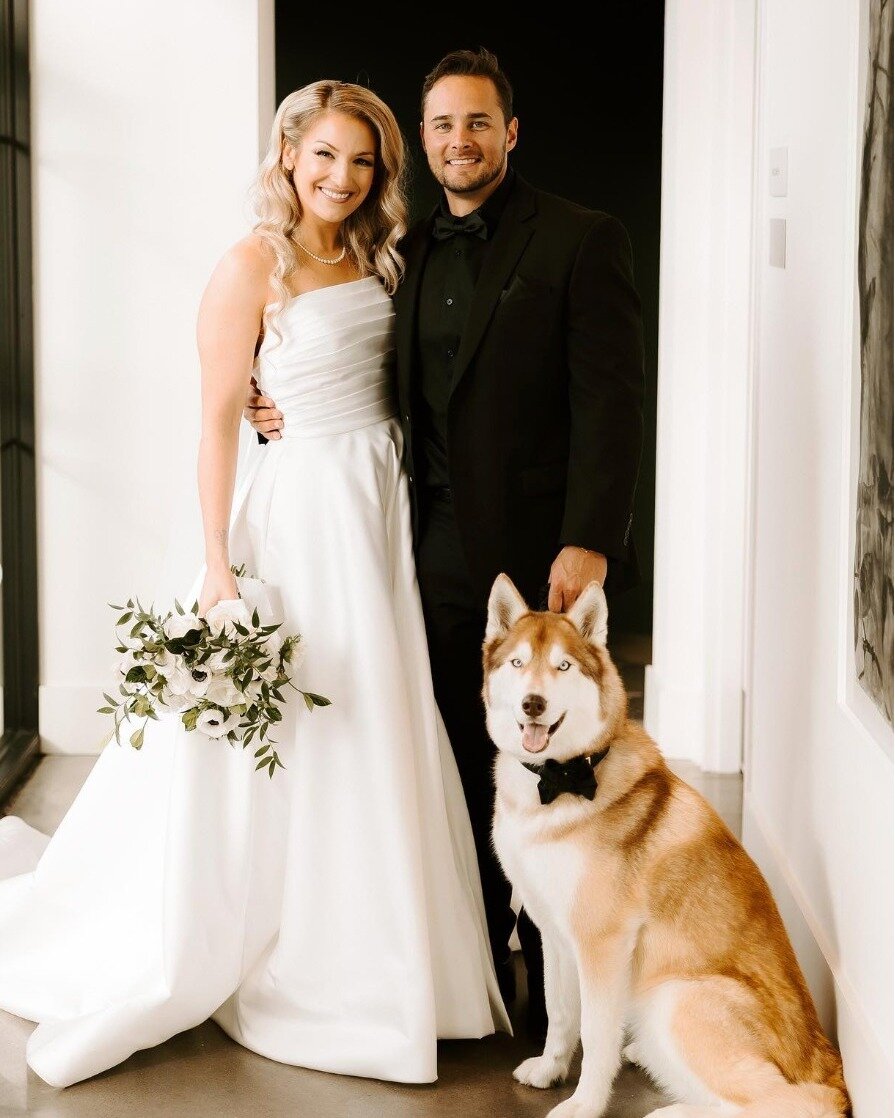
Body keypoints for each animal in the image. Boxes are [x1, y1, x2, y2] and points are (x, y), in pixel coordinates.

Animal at [482, 576, 844, 1118]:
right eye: (518, 663)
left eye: (563, 666)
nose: (533, 704)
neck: (560, 782)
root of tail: (830, 1069)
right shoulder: (554, 934)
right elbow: (561, 1013)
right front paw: (550, 1069)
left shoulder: (602, 942)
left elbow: (596, 1033)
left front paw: (585, 1103)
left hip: (677, 998)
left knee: (787, 1104)